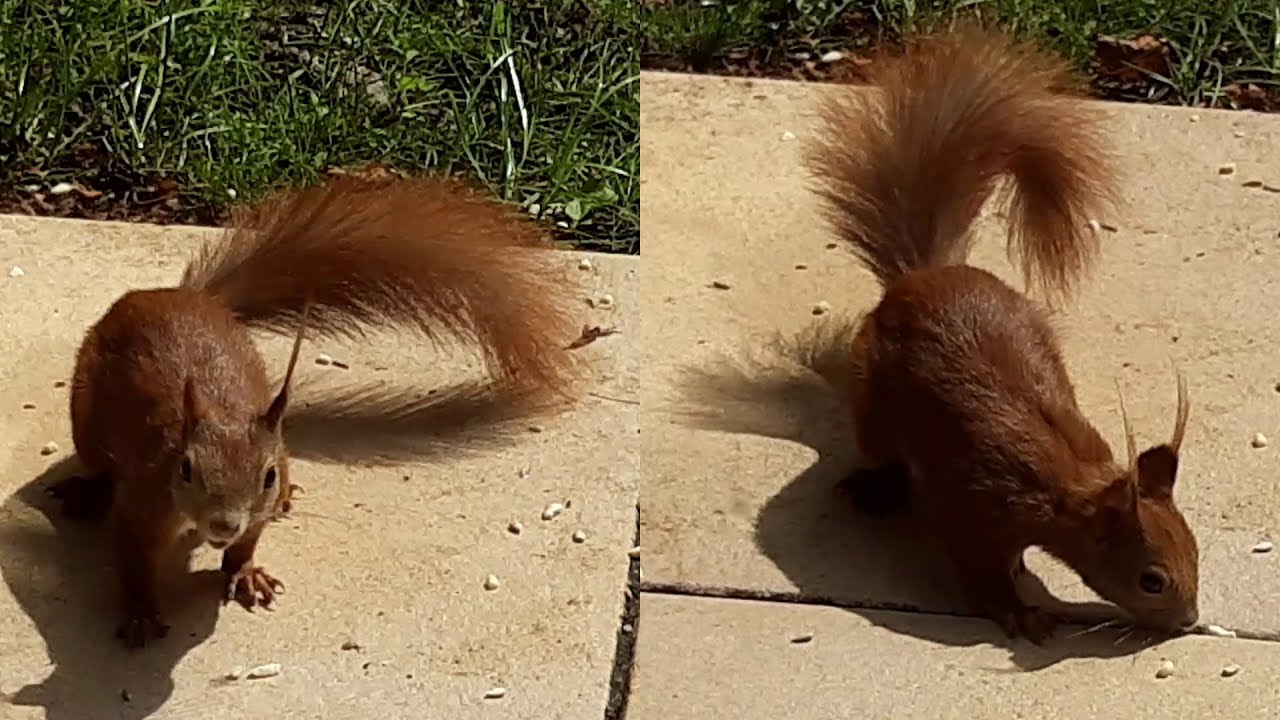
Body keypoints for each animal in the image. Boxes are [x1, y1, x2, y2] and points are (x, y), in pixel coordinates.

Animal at [69, 174, 580, 648]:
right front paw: (140, 613)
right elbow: (132, 561)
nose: (223, 524)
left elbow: (246, 544)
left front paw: (246, 572)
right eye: (186, 469)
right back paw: (85, 492)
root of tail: (181, 296)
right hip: (85, 410)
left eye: (266, 476)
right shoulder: (144, 501)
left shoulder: (261, 494)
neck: (219, 412)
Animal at [804, 25, 1199, 643]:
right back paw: (876, 487)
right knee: (881, 450)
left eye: (1197, 551)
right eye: (1151, 580)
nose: (1189, 622)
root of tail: (921, 275)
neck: (1063, 489)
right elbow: (977, 568)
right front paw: (1019, 611)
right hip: (872, 397)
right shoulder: (975, 509)